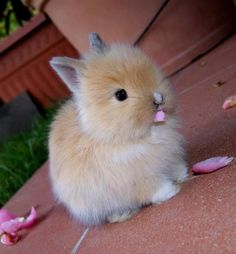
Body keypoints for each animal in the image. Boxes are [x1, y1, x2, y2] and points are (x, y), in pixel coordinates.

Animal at [49, 32, 188, 225]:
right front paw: (171, 191)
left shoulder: (169, 157)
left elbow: (174, 166)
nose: (158, 98)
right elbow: (152, 187)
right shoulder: (135, 177)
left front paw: (183, 174)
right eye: (121, 95)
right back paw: (123, 214)